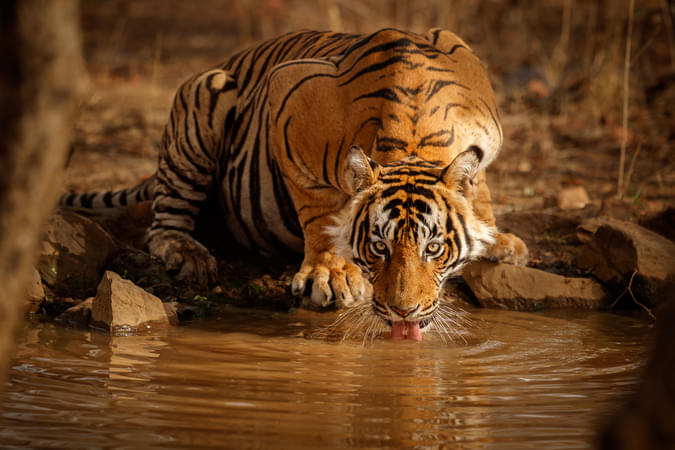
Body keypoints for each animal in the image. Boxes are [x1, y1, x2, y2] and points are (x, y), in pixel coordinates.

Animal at [62, 28, 528, 340]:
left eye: (433, 249)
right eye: (379, 247)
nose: (403, 312)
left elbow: (480, 188)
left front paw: (496, 239)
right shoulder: (287, 104)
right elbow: (318, 211)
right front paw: (330, 275)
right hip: (204, 97)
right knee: (163, 225)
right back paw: (189, 255)